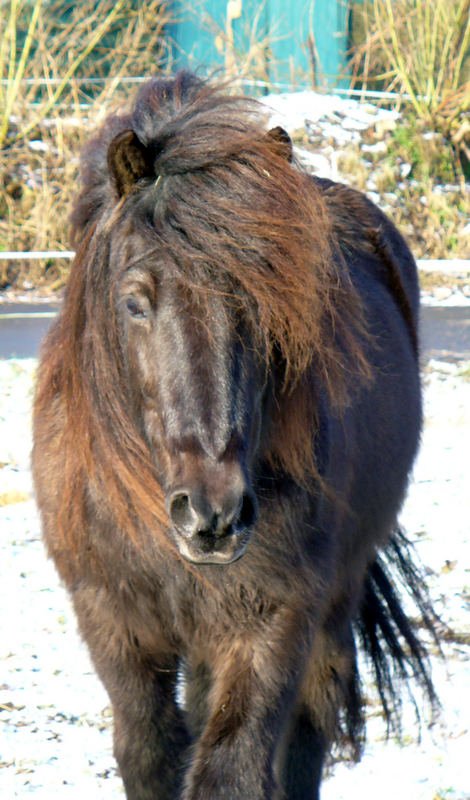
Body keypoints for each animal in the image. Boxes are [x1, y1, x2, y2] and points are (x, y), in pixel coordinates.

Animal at [32, 72, 436, 796]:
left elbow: (233, 769)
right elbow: (151, 754)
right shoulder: (113, 623)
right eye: (135, 300)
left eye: (265, 301)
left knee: (310, 725)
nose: (213, 514)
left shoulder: (271, 624)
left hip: (333, 601)